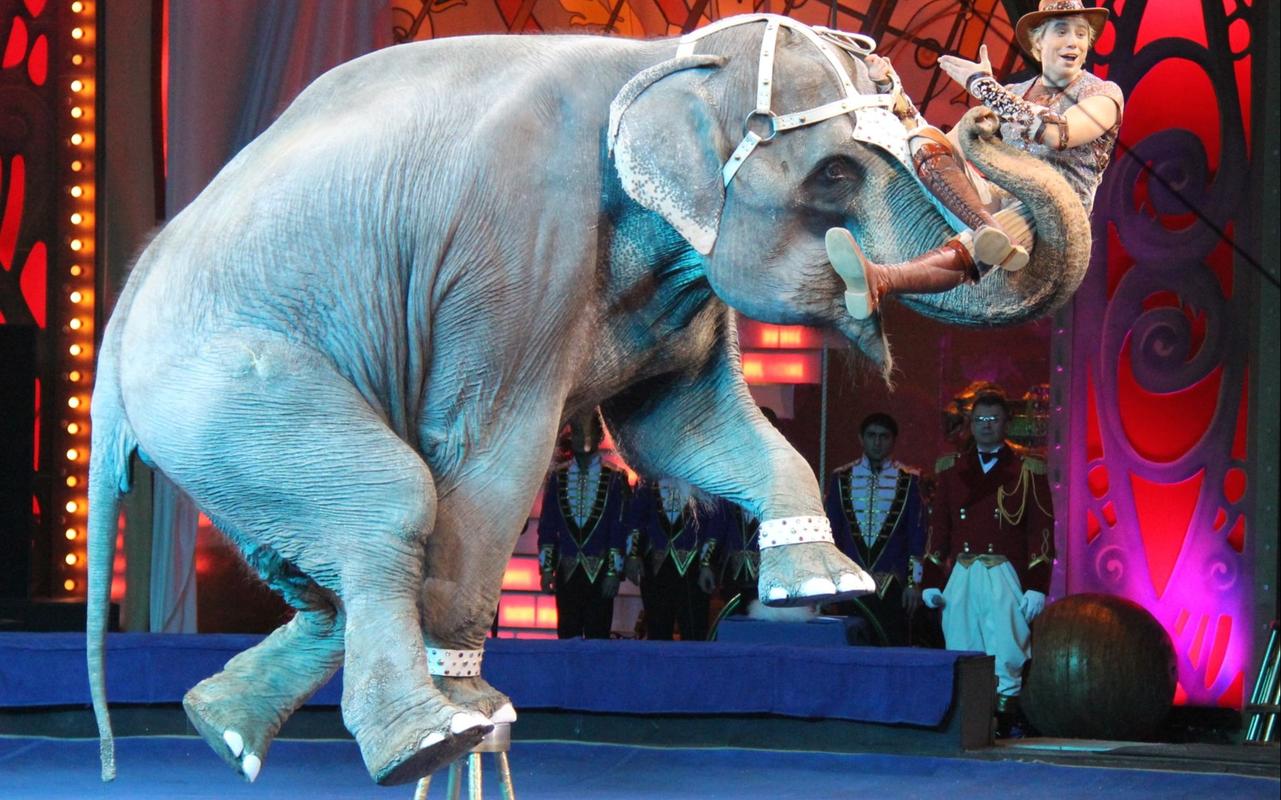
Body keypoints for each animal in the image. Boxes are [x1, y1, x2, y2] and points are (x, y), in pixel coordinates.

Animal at [85, 14, 1088, 788]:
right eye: (836, 174)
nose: (989, 111)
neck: (657, 56)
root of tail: (121, 311)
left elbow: (677, 426)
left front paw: (826, 586)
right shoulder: (515, 244)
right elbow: (491, 449)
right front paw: (474, 704)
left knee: (325, 563)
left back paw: (223, 727)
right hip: (223, 385)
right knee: (397, 500)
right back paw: (431, 739)